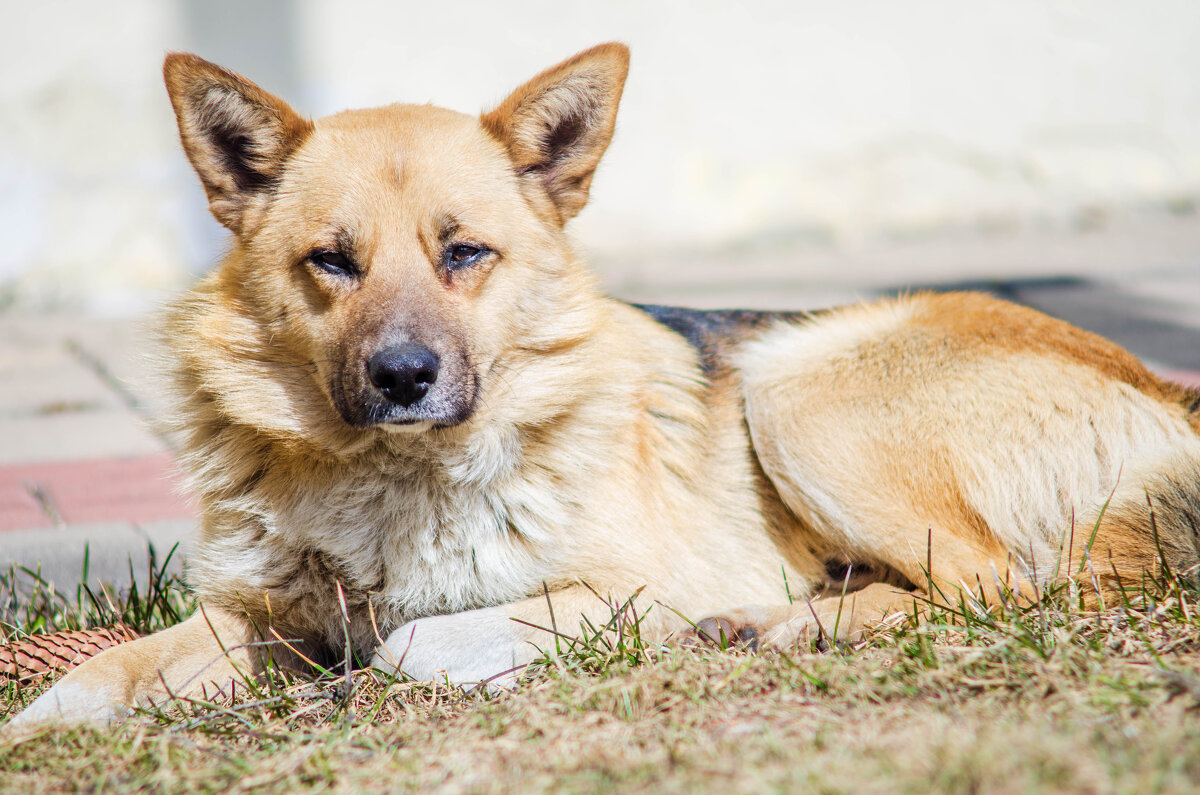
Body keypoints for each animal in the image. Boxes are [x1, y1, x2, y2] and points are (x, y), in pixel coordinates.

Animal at [11, 42, 1200, 730]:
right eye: (332, 262)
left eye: (465, 253)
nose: (403, 377)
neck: (395, 475)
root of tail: (1161, 390)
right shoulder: (249, 613)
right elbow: (115, 665)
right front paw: (52, 718)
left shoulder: (633, 584)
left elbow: (412, 637)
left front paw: (430, 655)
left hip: (793, 389)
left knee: (1005, 587)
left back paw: (772, 627)